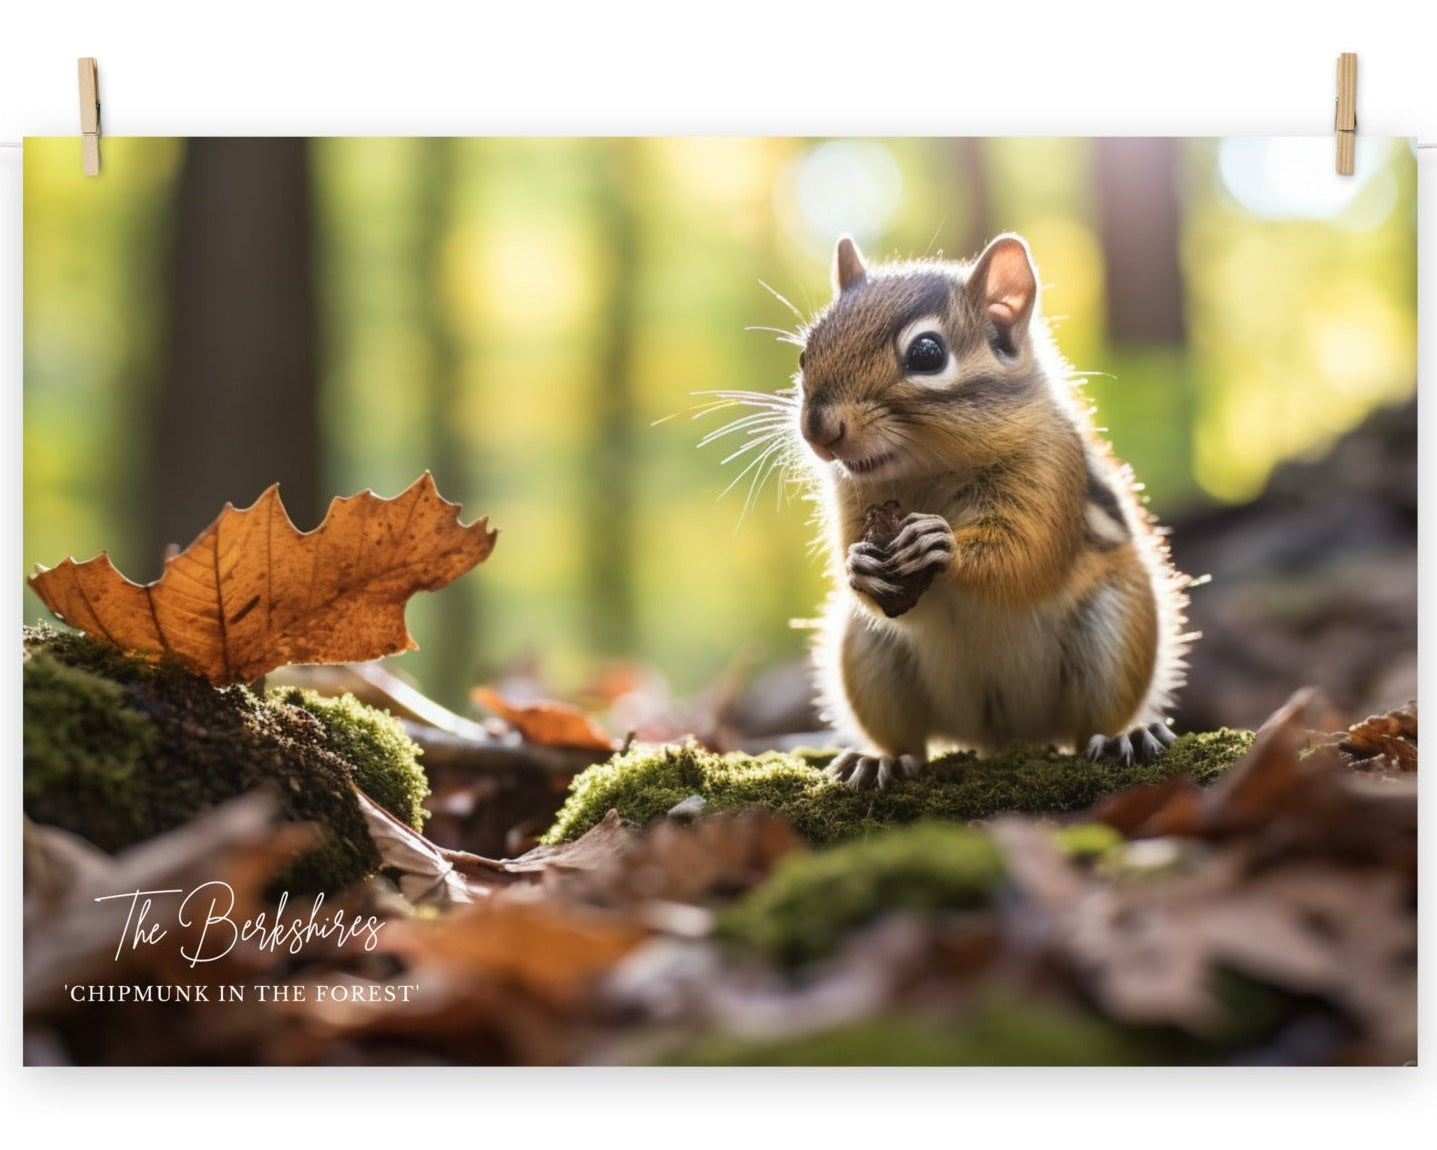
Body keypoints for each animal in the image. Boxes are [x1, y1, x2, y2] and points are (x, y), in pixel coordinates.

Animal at [789, 233, 1192, 789]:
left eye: (927, 353)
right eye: (805, 354)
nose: (818, 429)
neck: (929, 472)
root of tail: (1003, 736)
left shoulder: (1048, 472)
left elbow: (1024, 557)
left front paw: (939, 544)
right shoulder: (853, 501)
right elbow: (859, 564)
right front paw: (859, 566)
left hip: (1114, 630)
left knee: (1091, 725)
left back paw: (1123, 736)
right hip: (870, 654)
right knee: (910, 743)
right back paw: (879, 760)